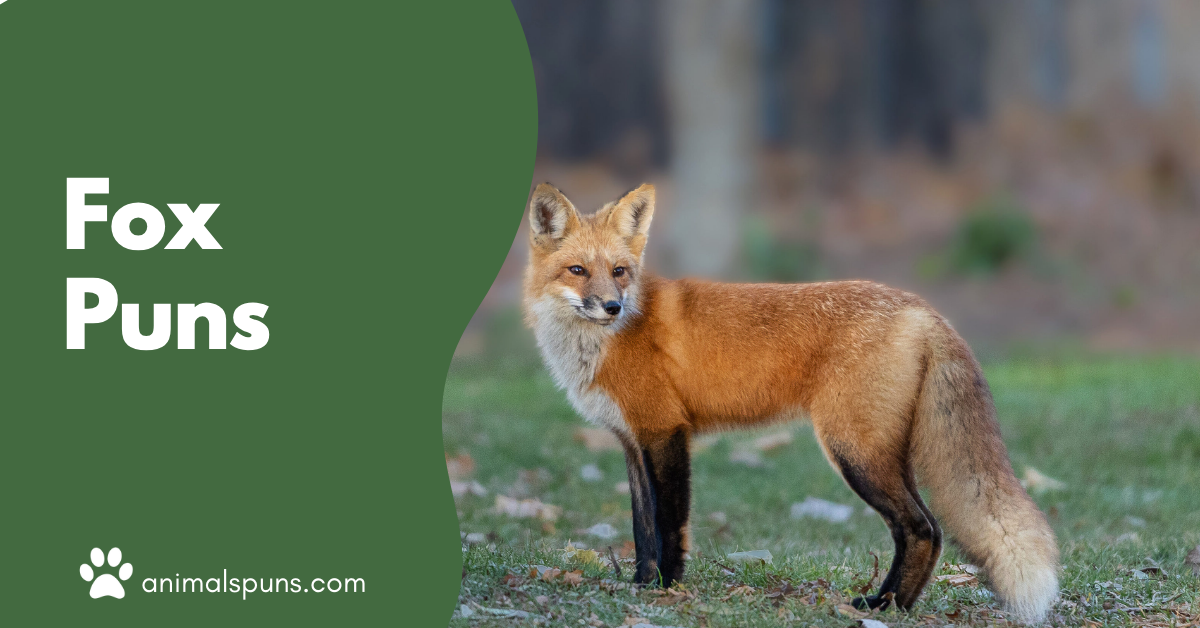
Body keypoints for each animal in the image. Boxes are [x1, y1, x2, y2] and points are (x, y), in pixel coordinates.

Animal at [522, 182, 1060, 622]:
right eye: (577, 271)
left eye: (619, 272)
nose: (612, 307)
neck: (601, 344)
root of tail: (921, 308)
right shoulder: (633, 442)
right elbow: (642, 529)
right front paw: (640, 584)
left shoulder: (665, 433)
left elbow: (668, 525)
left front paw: (666, 589)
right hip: (886, 453)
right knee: (931, 532)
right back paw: (897, 605)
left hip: (855, 453)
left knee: (921, 529)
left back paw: (882, 606)